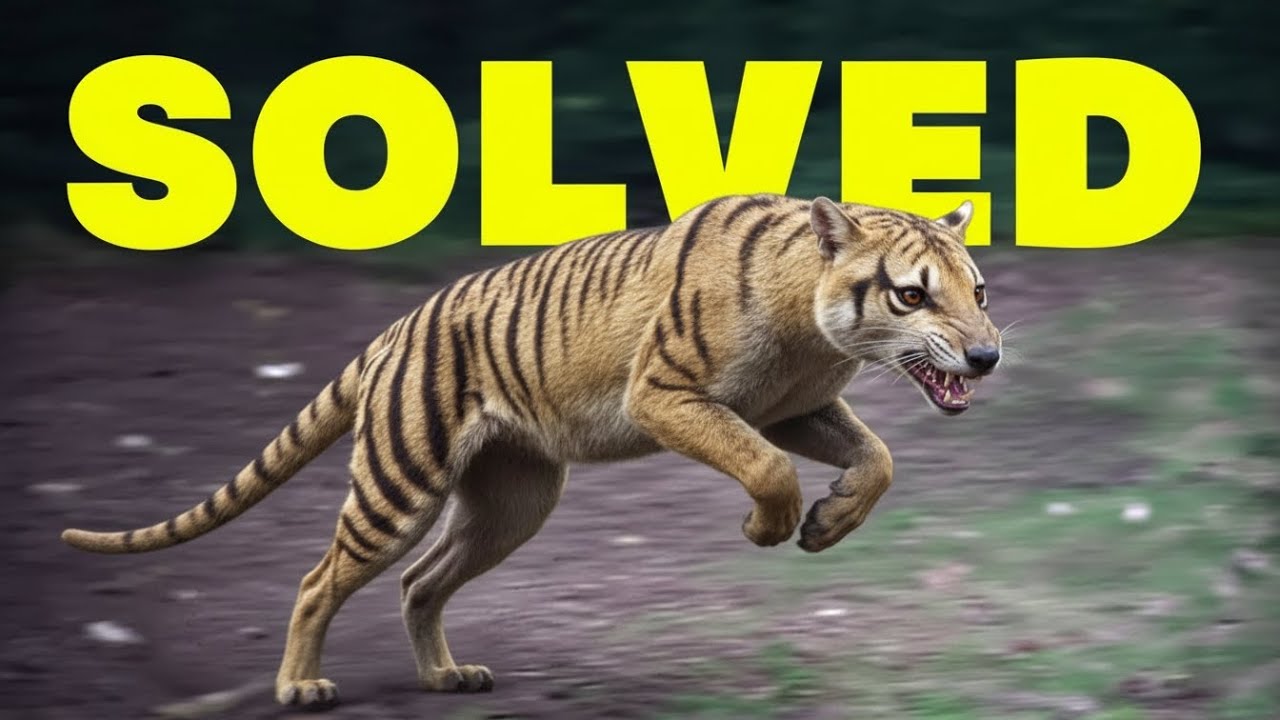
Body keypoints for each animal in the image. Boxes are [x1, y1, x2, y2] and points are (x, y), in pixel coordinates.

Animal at [61, 194, 1002, 708]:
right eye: (913, 294)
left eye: (980, 291)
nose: (988, 355)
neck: (819, 332)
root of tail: (393, 331)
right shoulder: (668, 395)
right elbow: (767, 467)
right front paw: (767, 530)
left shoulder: (795, 407)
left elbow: (877, 459)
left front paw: (827, 524)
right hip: (399, 487)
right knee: (318, 580)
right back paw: (301, 687)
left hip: (512, 503)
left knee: (419, 583)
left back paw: (447, 678)